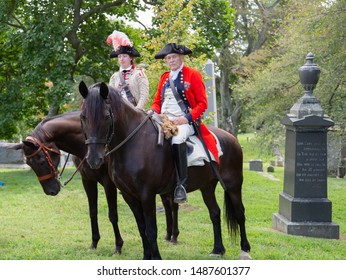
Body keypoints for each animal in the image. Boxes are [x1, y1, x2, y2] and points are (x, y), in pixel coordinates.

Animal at [11, 110, 178, 255]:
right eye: (29, 163)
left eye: (40, 160)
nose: (50, 191)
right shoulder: (87, 181)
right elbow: (93, 211)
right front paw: (94, 242)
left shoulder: (109, 183)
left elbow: (113, 214)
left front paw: (118, 245)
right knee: (167, 203)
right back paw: (168, 235)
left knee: (173, 205)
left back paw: (174, 236)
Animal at [79, 81, 250, 260]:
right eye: (82, 117)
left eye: (106, 116)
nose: (94, 159)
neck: (132, 143)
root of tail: (232, 138)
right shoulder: (129, 195)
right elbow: (142, 228)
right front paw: (146, 256)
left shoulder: (147, 194)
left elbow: (151, 229)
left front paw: (156, 257)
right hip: (207, 186)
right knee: (215, 213)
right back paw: (217, 249)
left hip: (233, 185)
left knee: (239, 213)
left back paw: (244, 249)